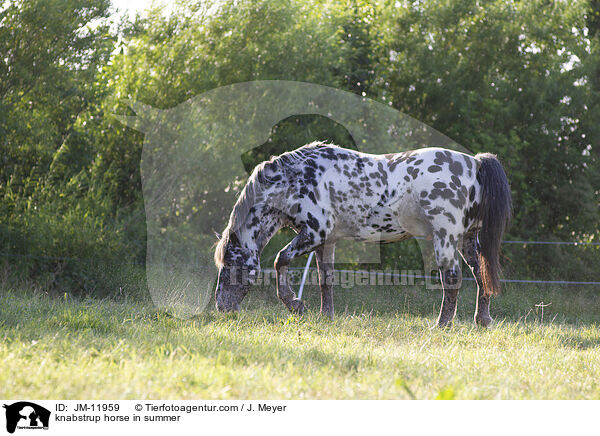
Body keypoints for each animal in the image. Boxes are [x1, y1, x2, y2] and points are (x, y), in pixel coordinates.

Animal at [214, 143, 510, 328]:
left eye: (230, 265)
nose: (221, 308)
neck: (296, 180)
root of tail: (475, 163)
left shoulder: (314, 234)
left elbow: (280, 260)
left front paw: (295, 305)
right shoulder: (325, 241)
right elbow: (325, 279)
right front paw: (326, 316)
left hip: (445, 238)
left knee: (452, 278)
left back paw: (442, 325)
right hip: (467, 239)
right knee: (480, 273)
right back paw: (482, 320)